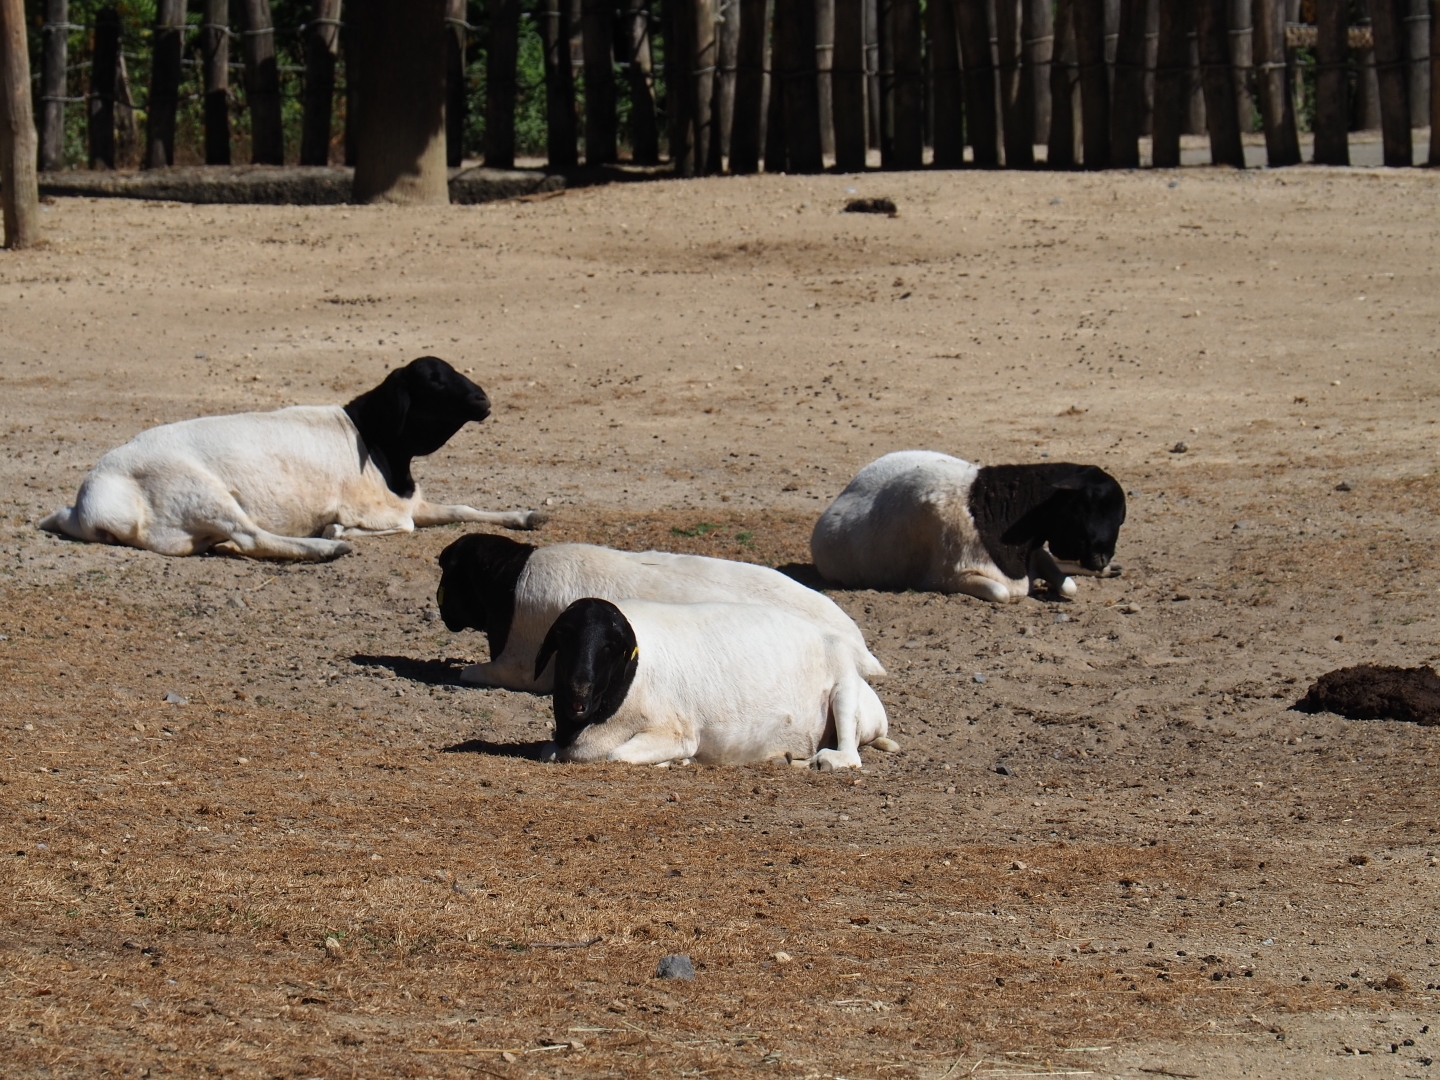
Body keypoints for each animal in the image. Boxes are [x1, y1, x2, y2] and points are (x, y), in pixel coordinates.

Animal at [39, 357, 543, 561]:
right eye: (434, 380)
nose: (483, 400)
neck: (374, 441)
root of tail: (92, 504)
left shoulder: (410, 500)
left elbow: (463, 508)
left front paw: (526, 515)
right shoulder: (376, 508)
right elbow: (401, 526)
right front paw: (337, 532)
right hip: (199, 491)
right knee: (252, 536)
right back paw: (327, 549)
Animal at [533, 597, 899, 769]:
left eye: (611, 647)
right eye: (564, 638)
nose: (578, 694)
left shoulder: (676, 732)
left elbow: (617, 755)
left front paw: (673, 762)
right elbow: (548, 751)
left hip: (844, 685)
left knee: (849, 754)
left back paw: (823, 761)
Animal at [811, 450, 1126, 602]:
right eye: (1085, 506)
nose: (1101, 559)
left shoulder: (1035, 552)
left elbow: (1068, 585)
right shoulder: (950, 577)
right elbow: (1002, 593)